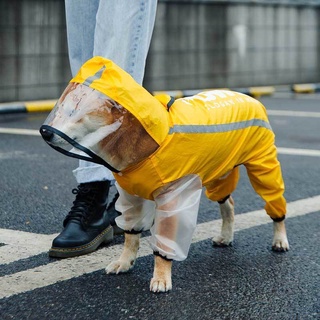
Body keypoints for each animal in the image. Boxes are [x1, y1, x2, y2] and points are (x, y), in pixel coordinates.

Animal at [40, 57, 290, 292]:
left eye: (75, 112)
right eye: (60, 109)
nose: (45, 133)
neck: (149, 144)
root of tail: (249, 98)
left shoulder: (173, 198)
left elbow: (164, 243)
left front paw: (161, 277)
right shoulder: (131, 197)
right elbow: (131, 235)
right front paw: (125, 262)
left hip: (263, 167)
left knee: (274, 203)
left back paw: (280, 239)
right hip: (220, 174)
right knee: (228, 205)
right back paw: (227, 236)